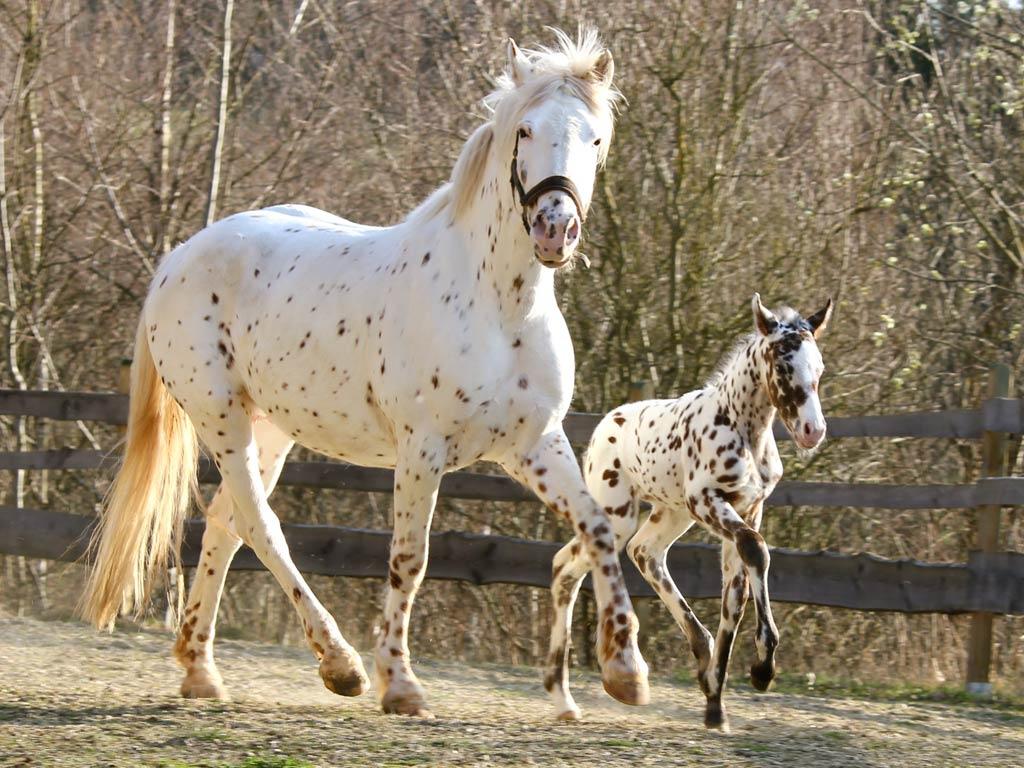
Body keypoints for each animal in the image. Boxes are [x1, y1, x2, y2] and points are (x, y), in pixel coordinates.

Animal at [80, 29, 650, 717]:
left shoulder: (533, 444)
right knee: (260, 526)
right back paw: (340, 664)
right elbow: (410, 559)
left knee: (226, 523)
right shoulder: (423, 450)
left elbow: (599, 528)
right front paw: (399, 683)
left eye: (595, 138)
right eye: (525, 130)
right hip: (222, 420)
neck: (499, 305)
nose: (555, 228)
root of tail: (180, 257)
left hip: (271, 428)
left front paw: (625, 671)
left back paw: (201, 671)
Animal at [544, 294, 832, 727]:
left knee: (643, 554)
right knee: (569, 565)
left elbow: (736, 593)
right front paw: (762, 670)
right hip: (618, 513)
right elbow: (756, 550)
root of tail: (605, 425)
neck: (742, 428)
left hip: (670, 514)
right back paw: (578, 689)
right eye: (784, 363)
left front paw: (715, 702)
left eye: (819, 367)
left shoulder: (749, 509)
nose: (813, 431)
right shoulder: (708, 501)